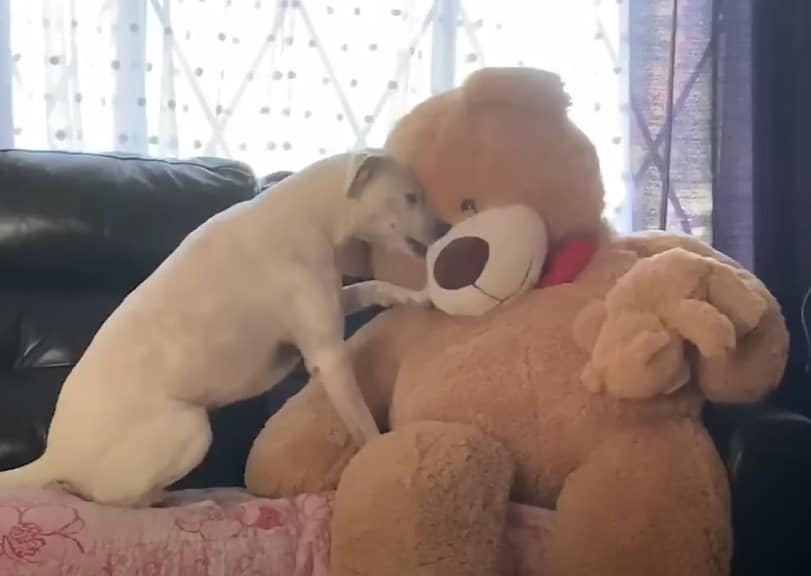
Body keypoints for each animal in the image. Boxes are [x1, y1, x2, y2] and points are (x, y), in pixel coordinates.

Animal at [0, 151, 438, 506]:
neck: (309, 213)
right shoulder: (327, 356)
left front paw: (412, 297)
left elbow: (369, 287)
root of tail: (55, 454)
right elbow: (362, 421)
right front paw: (378, 455)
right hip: (192, 428)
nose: (442, 227)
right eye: (411, 197)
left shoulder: (330, 305)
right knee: (113, 497)